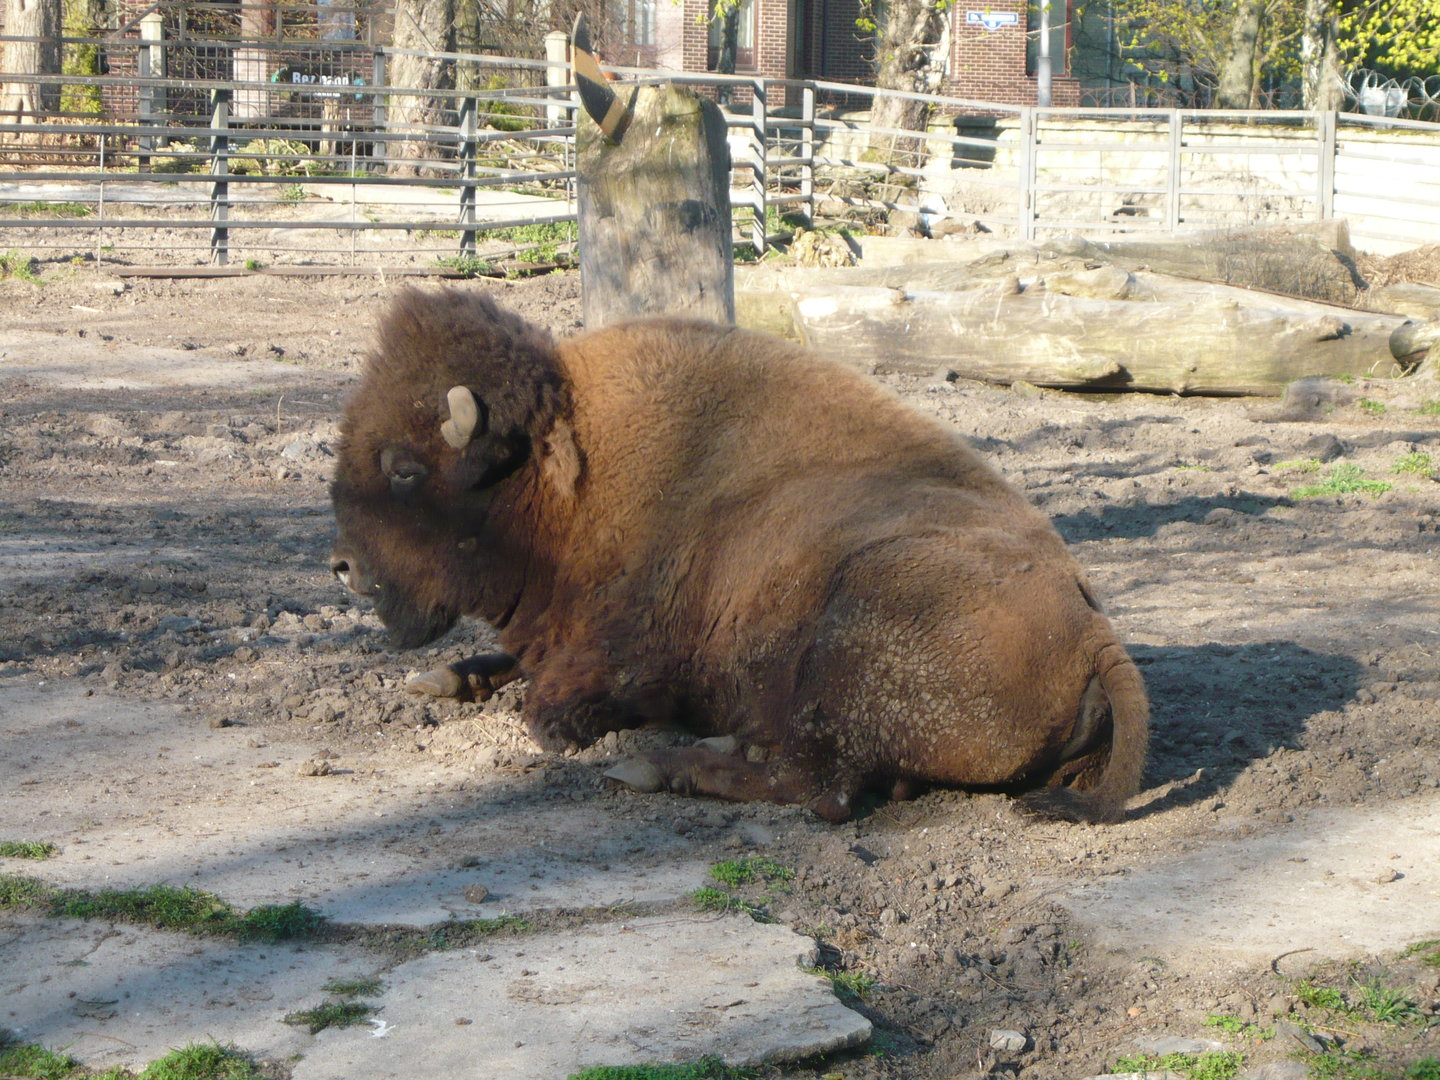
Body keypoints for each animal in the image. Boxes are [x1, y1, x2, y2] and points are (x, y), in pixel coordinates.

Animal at [329, 287, 1148, 823]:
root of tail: (1091, 631)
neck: (565, 471)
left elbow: (550, 710)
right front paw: (439, 679)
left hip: (852, 625)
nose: (343, 567)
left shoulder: (626, 662)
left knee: (820, 789)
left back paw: (660, 765)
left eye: (405, 468)